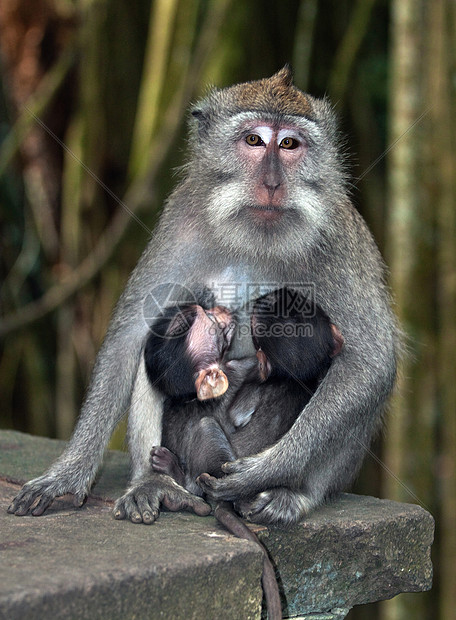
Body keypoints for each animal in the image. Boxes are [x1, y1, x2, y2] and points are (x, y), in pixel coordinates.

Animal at [8, 69, 398, 532]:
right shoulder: (182, 218)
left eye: (289, 144)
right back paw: (157, 481)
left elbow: (370, 361)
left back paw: (292, 494)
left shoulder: (338, 235)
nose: (272, 183)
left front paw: (267, 471)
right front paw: (67, 477)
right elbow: (131, 335)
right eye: (253, 140)